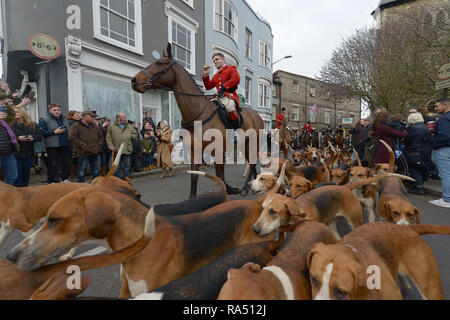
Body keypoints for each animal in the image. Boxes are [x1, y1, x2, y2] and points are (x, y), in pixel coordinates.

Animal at [130, 42, 264, 198]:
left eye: (159, 63)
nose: (134, 80)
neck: (197, 114)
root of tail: (257, 115)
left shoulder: (217, 150)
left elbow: (220, 176)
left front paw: (228, 190)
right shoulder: (194, 151)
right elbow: (195, 175)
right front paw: (193, 198)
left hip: (252, 143)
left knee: (253, 162)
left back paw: (246, 188)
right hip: (244, 144)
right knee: (252, 163)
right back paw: (251, 185)